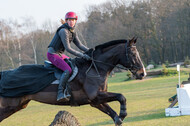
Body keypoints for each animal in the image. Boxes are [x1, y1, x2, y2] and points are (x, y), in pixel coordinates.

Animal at [0, 37, 147, 125]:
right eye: (133, 54)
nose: (142, 73)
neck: (96, 67)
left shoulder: (94, 101)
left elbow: (113, 114)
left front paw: (119, 117)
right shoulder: (96, 96)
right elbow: (121, 96)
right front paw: (123, 113)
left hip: (19, 105)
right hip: (7, 107)